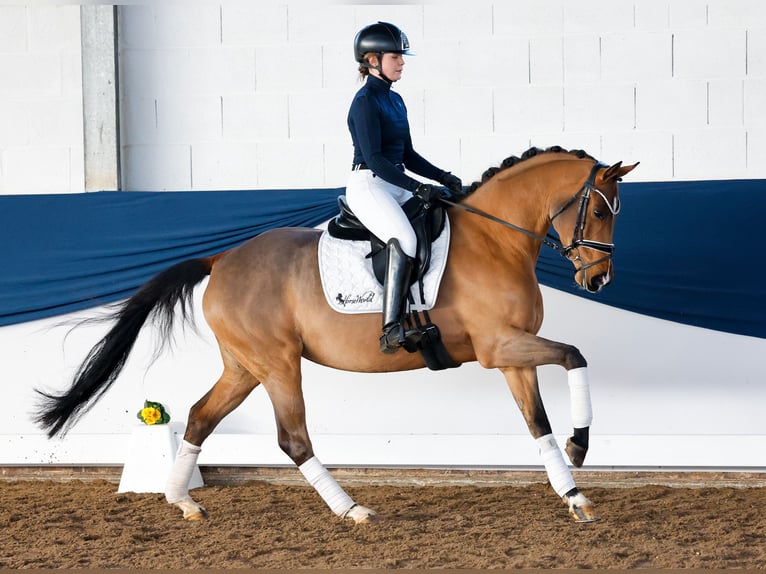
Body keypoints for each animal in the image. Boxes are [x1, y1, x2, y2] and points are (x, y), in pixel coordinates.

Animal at [36, 145, 640, 528]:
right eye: (599, 208)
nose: (598, 280)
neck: (496, 241)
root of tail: (222, 258)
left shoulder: (512, 355)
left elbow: (537, 423)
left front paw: (574, 494)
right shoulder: (498, 349)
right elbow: (576, 356)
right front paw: (580, 446)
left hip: (244, 366)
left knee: (201, 416)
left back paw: (181, 501)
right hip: (278, 365)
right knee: (293, 439)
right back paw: (351, 510)